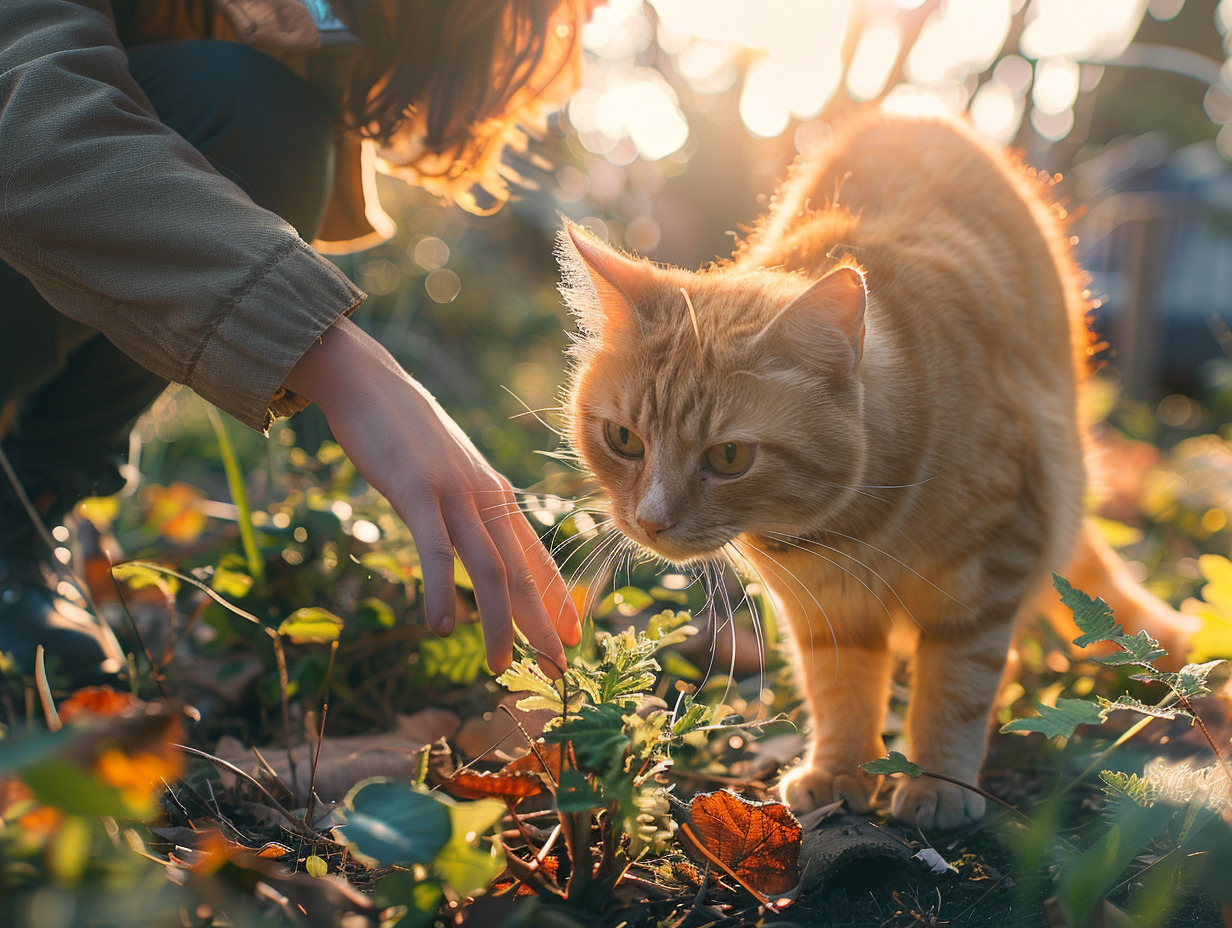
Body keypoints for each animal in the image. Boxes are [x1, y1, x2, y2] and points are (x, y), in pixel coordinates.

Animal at [556, 106, 1192, 823]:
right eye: (624, 440)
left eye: (730, 456)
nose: (650, 521)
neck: (857, 521)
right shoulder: (825, 611)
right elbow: (840, 688)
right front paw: (839, 770)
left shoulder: (990, 569)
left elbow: (956, 682)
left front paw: (939, 780)